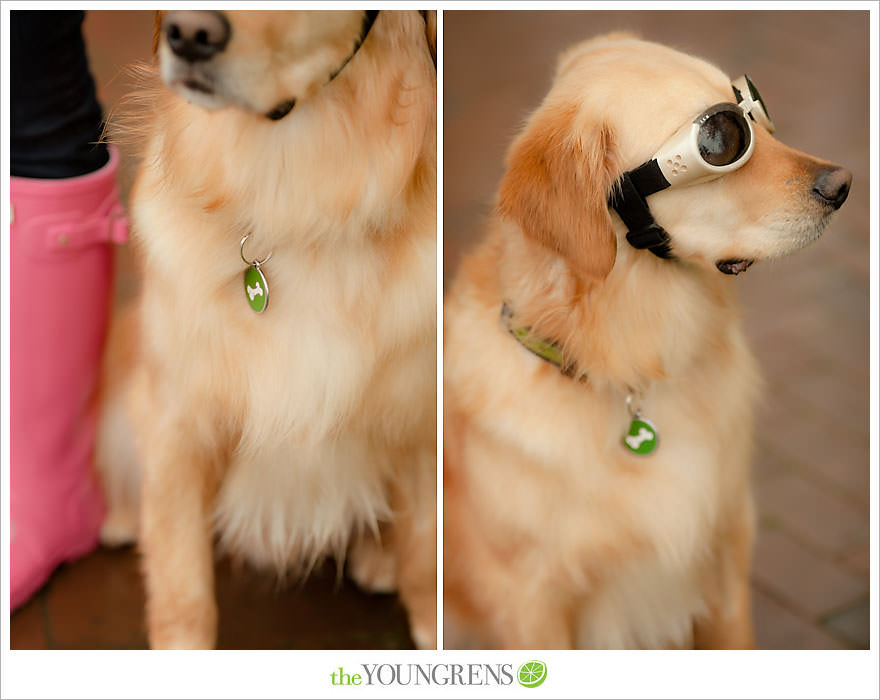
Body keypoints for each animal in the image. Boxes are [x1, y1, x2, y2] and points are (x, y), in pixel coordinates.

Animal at [96, 8, 436, 648]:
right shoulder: (176, 418)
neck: (290, 197)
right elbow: (181, 585)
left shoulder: (419, 422)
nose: (188, 35)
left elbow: (428, 559)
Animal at [446, 35, 852, 652]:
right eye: (721, 139)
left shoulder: (727, 557)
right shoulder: (531, 599)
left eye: (752, 109)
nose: (843, 185)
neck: (637, 363)